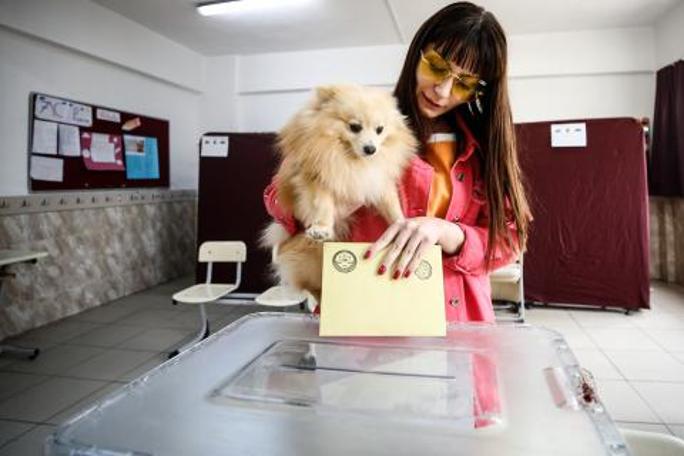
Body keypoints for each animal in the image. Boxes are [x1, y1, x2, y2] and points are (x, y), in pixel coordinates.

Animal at [264, 84, 420, 302]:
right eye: (355, 127)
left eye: (380, 130)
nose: (371, 148)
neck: (349, 158)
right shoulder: (316, 179)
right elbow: (322, 204)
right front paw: (321, 227)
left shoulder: (378, 182)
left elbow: (392, 206)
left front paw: (403, 224)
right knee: (312, 286)